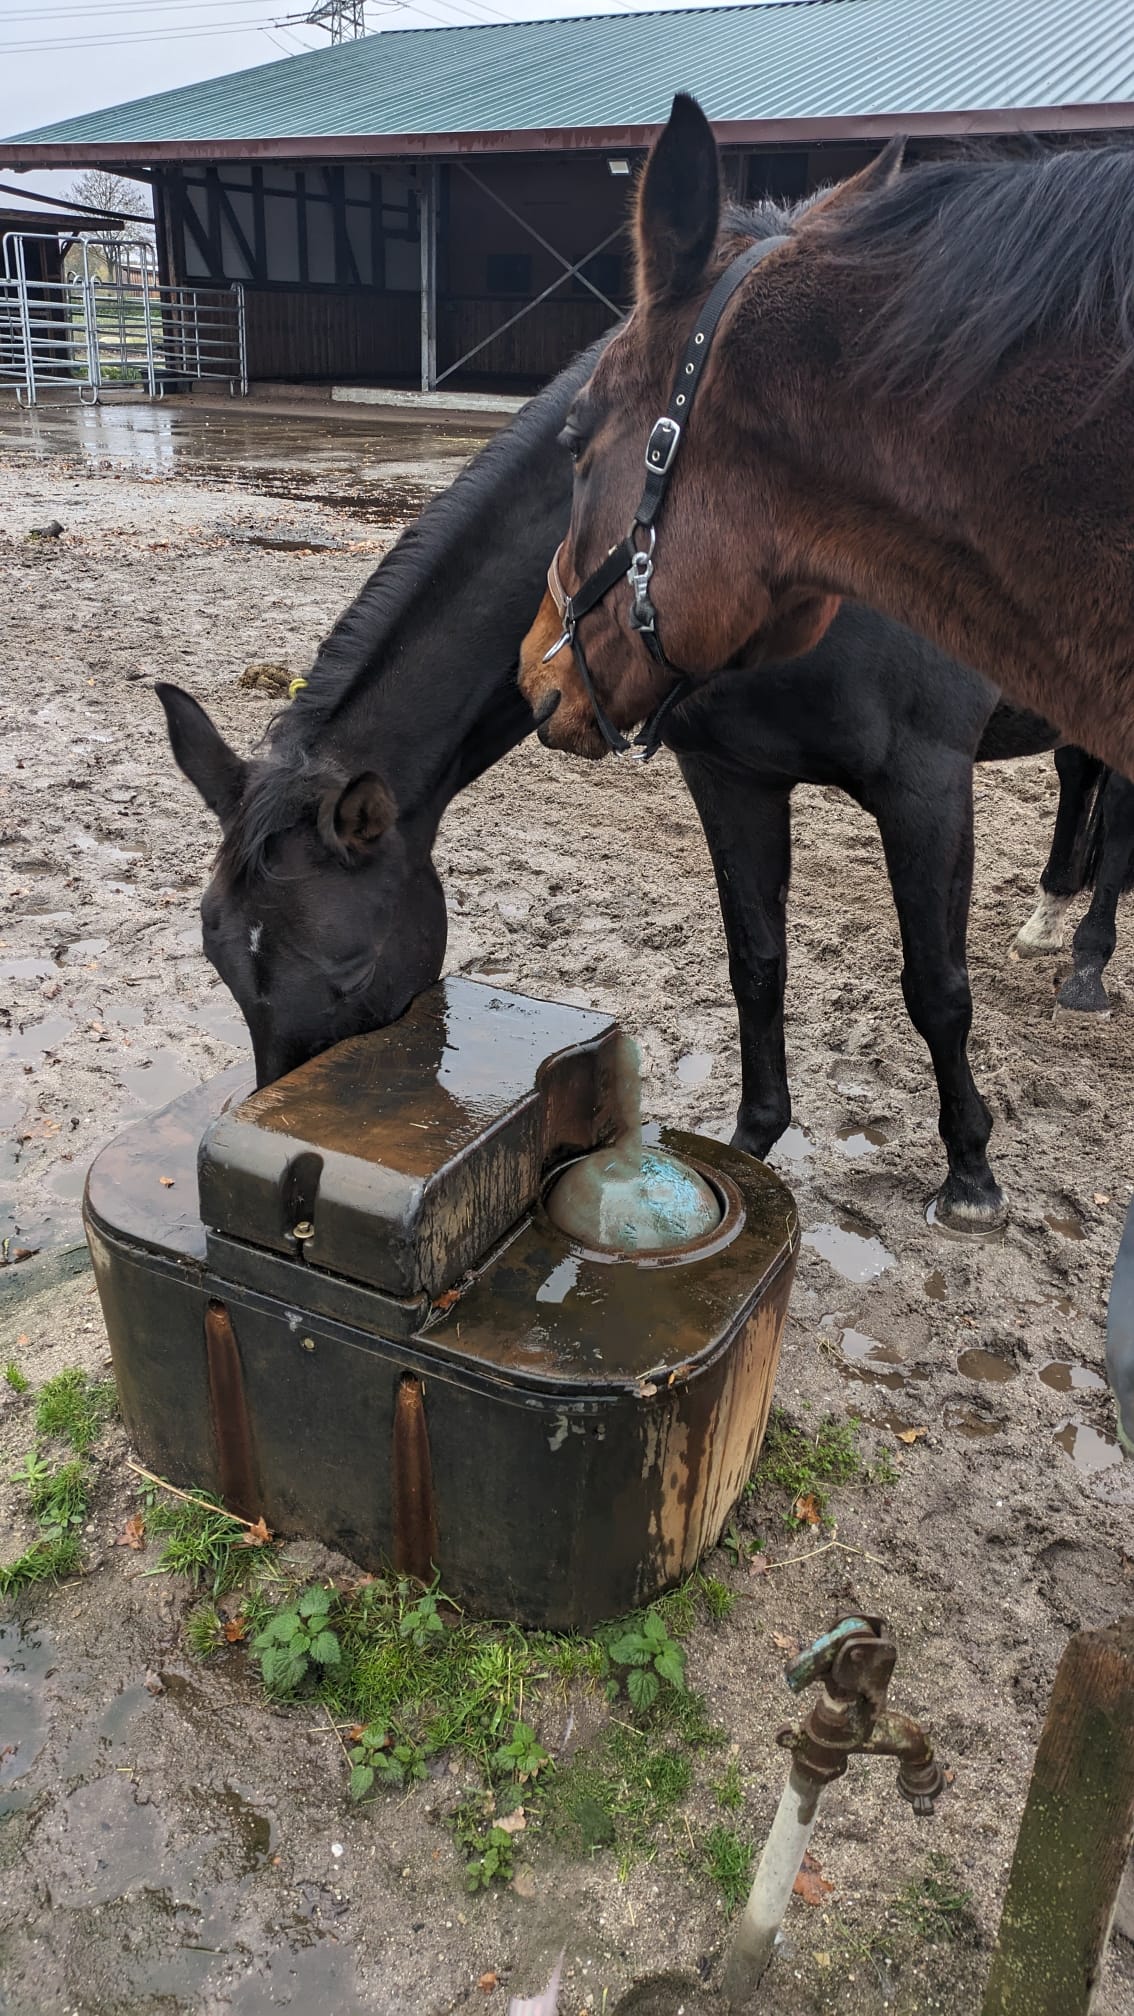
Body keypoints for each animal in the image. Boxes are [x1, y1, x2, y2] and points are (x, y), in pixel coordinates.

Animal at [161, 338, 1094, 1231]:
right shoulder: (731, 776)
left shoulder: (924, 783)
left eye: (351, 970)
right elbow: (756, 964)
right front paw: (752, 1142)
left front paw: (971, 1177)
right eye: (220, 960)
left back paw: (1081, 958)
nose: (282, 1129)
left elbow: (936, 987)